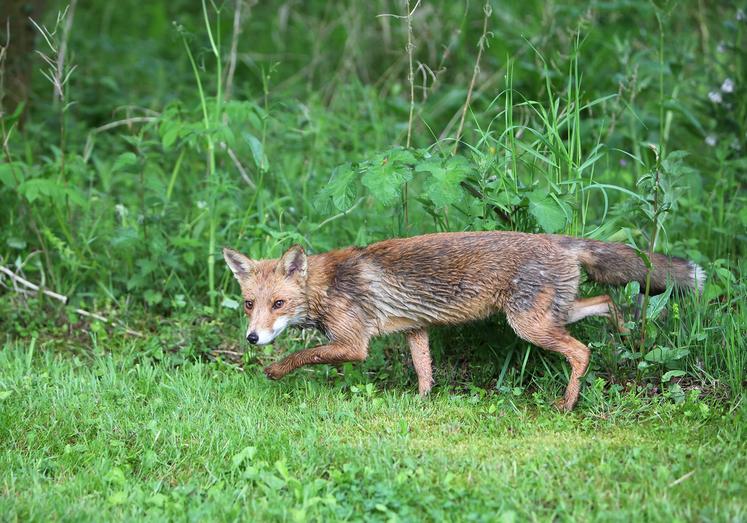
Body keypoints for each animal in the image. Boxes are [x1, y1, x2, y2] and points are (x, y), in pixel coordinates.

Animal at [223, 231, 705, 411]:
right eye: (249, 304)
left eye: (279, 303)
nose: (252, 338)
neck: (327, 286)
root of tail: (559, 239)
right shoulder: (413, 328)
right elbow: (424, 371)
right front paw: (421, 403)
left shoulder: (354, 344)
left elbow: (305, 355)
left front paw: (274, 370)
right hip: (555, 313)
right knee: (606, 300)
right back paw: (631, 340)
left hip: (529, 325)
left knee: (581, 350)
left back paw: (567, 404)